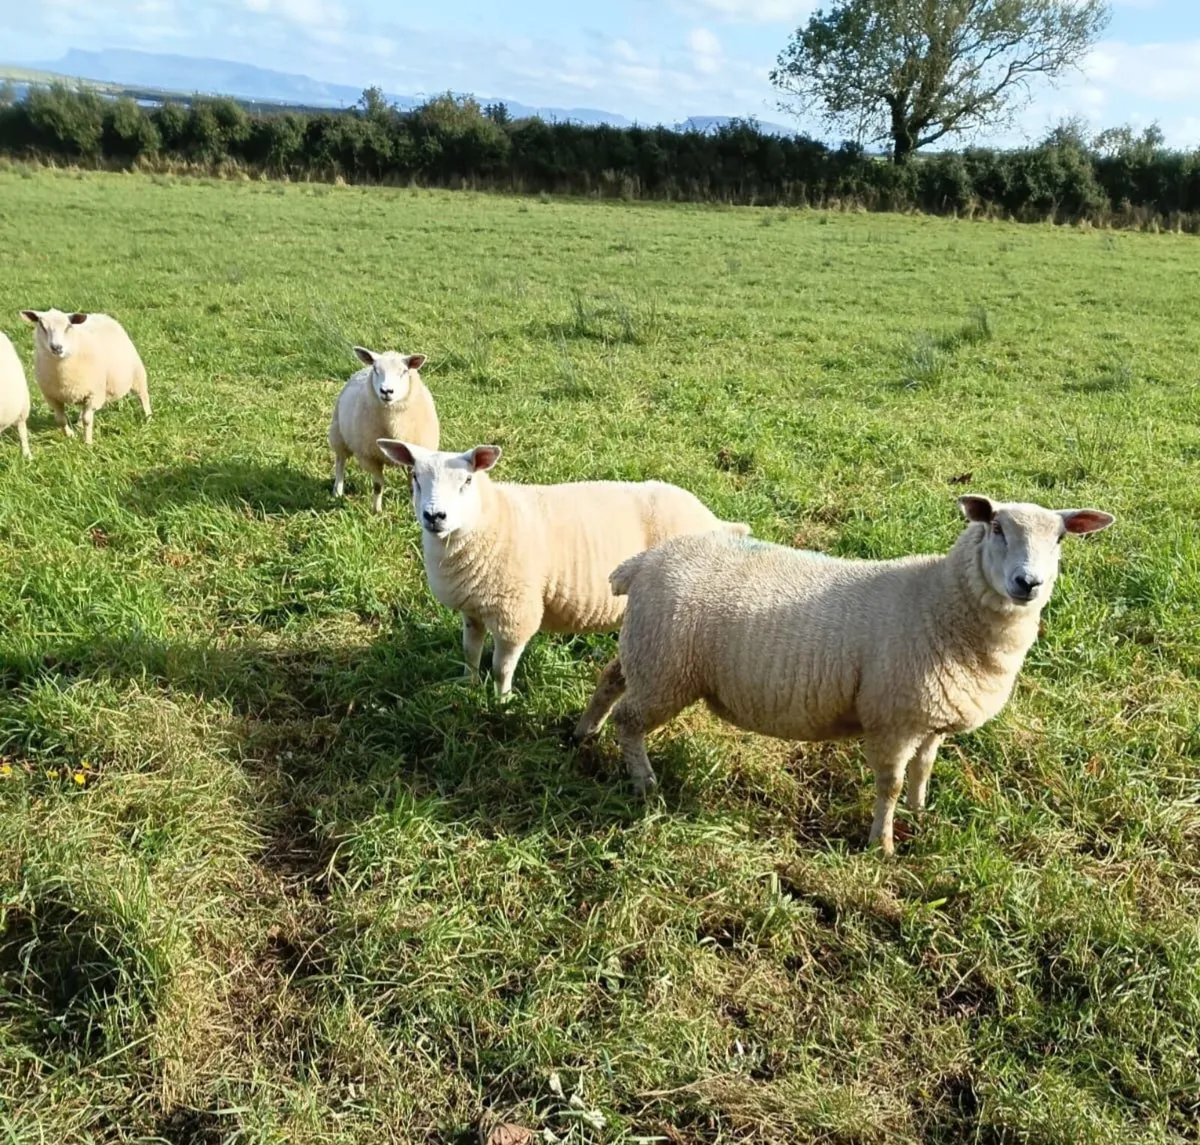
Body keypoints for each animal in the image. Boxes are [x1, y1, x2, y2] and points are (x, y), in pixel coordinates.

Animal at [20, 309, 150, 445]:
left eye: (68, 326)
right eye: (42, 326)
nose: (57, 347)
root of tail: (101, 315)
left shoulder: (93, 394)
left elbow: (87, 420)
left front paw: (87, 443)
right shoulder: (52, 397)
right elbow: (60, 419)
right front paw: (70, 436)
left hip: (137, 374)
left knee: (143, 396)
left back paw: (148, 418)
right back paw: (78, 426)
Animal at [329, 348, 439, 515]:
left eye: (404, 371)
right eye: (376, 370)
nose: (386, 391)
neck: (394, 427)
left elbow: (413, 487)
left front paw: (413, 511)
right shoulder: (370, 457)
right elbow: (378, 486)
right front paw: (377, 512)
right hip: (338, 435)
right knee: (340, 462)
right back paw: (338, 491)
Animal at [376, 439, 750, 696]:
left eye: (467, 481)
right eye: (414, 476)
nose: (434, 516)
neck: (492, 518)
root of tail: (713, 520)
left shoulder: (516, 614)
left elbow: (500, 667)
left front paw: (501, 702)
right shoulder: (473, 609)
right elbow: (470, 652)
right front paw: (466, 685)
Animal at [575, 495, 1115, 856]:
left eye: (1060, 538)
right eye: (998, 528)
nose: (1029, 583)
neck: (938, 600)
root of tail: (642, 563)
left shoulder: (931, 715)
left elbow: (923, 769)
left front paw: (921, 811)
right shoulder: (894, 718)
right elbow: (890, 784)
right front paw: (883, 845)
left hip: (646, 650)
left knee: (610, 679)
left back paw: (584, 732)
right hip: (665, 669)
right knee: (630, 721)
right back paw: (644, 782)